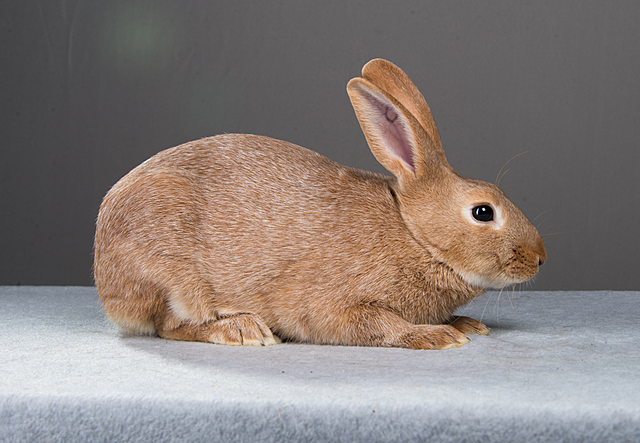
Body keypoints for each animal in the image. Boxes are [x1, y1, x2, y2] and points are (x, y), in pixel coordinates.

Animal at [94, 58, 546, 350]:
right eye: (483, 212)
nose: (540, 258)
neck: (415, 235)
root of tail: (104, 277)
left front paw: (464, 324)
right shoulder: (335, 305)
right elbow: (380, 325)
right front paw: (438, 336)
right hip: (171, 273)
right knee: (169, 324)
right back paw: (242, 331)